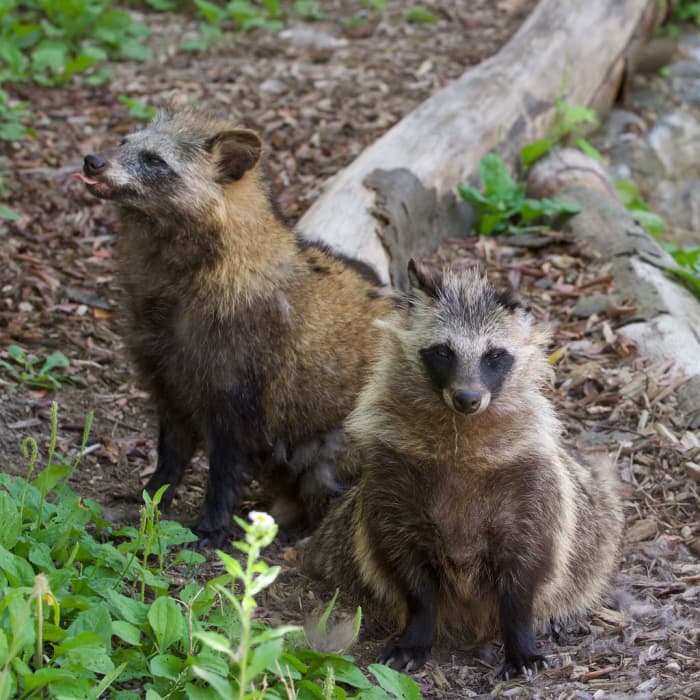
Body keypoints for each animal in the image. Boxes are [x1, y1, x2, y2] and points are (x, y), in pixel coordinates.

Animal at [78, 108, 394, 548]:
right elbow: (170, 456)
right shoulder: (167, 382)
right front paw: (149, 498)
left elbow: (224, 472)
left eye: (155, 160)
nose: (92, 160)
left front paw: (211, 526)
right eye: (124, 141)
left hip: (333, 451)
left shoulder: (239, 397)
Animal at [306, 260, 624, 676]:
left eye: (494, 355)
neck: (461, 438)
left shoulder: (533, 482)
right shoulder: (391, 477)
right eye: (443, 352)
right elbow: (405, 566)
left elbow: (528, 567)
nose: (468, 398)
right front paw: (417, 630)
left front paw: (519, 637)